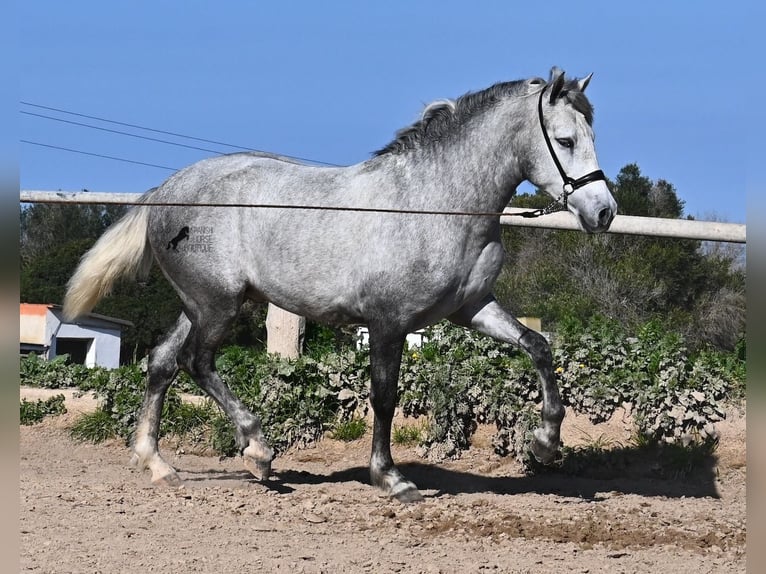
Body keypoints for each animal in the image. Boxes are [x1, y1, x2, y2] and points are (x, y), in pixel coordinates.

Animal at [66, 67, 616, 502]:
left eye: (592, 135)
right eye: (565, 140)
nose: (603, 212)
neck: (434, 204)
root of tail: (167, 189)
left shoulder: (473, 308)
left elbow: (538, 346)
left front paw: (545, 443)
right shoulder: (389, 322)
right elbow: (384, 395)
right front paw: (392, 479)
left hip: (201, 304)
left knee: (162, 363)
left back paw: (157, 464)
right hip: (217, 305)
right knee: (194, 363)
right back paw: (258, 451)